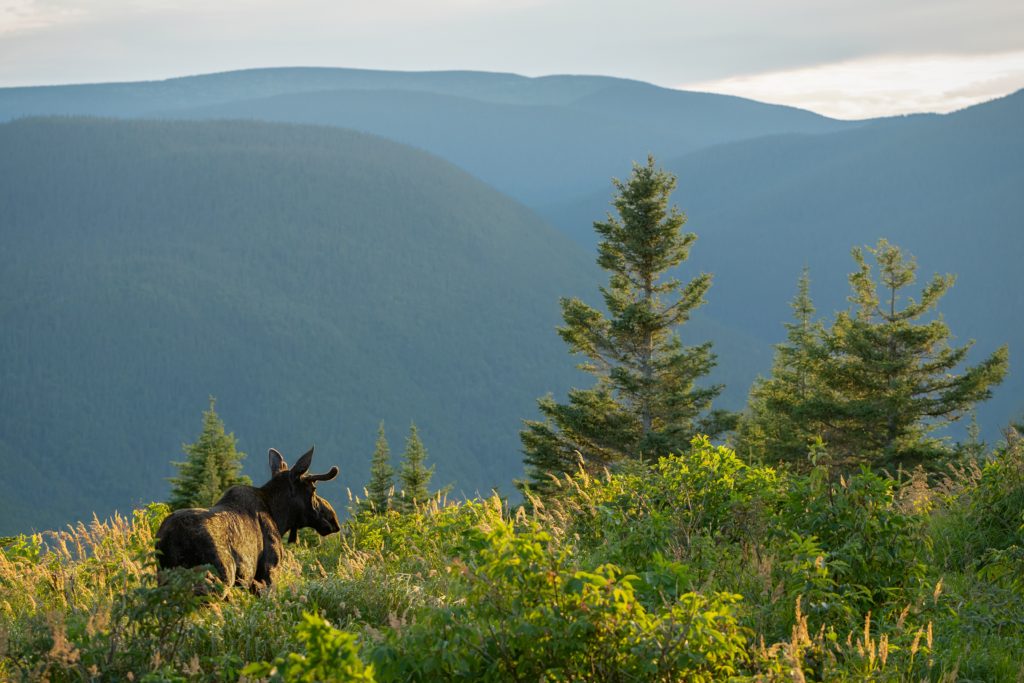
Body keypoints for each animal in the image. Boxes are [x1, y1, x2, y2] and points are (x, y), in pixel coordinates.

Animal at [154, 448, 339, 593]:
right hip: (218, 578)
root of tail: (167, 539)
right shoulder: (268, 571)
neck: (280, 518)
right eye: (313, 488)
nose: (333, 519)